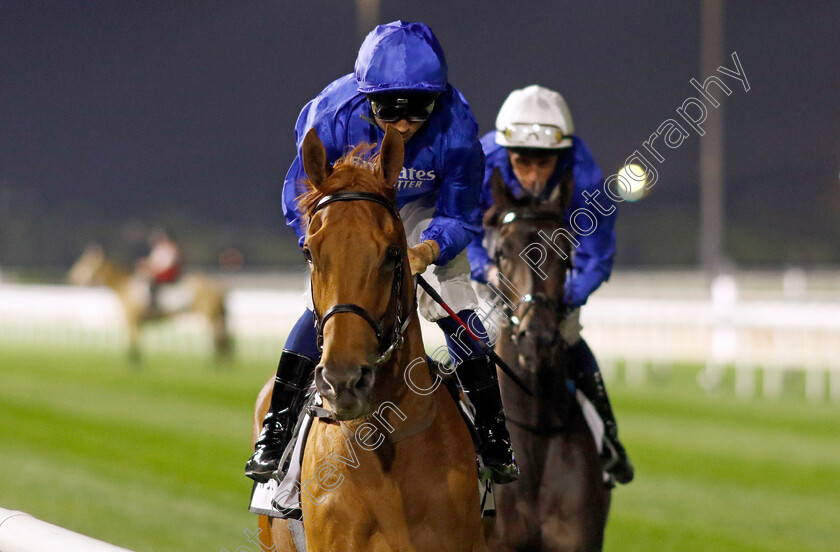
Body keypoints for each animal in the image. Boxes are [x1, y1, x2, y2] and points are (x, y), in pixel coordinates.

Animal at [67, 245, 230, 362]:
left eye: (87, 263)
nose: (73, 277)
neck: (125, 286)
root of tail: (219, 285)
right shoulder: (136, 321)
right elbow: (136, 341)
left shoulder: (132, 319)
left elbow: (134, 342)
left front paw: (134, 363)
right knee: (221, 337)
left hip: (208, 314)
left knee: (215, 336)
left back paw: (214, 362)